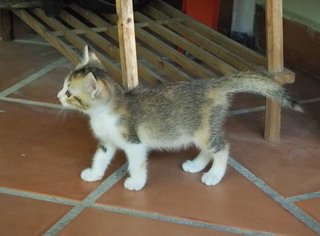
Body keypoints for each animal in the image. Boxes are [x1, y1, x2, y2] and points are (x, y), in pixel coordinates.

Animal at [58, 45, 302, 191]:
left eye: (70, 93)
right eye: (63, 86)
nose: (58, 95)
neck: (104, 112)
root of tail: (214, 83)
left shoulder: (134, 143)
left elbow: (137, 164)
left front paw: (136, 182)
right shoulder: (107, 142)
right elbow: (100, 158)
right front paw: (94, 174)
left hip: (204, 130)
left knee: (222, 149)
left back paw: (214, 175)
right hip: (198, 129)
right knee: (208, 149)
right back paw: (195, 165)